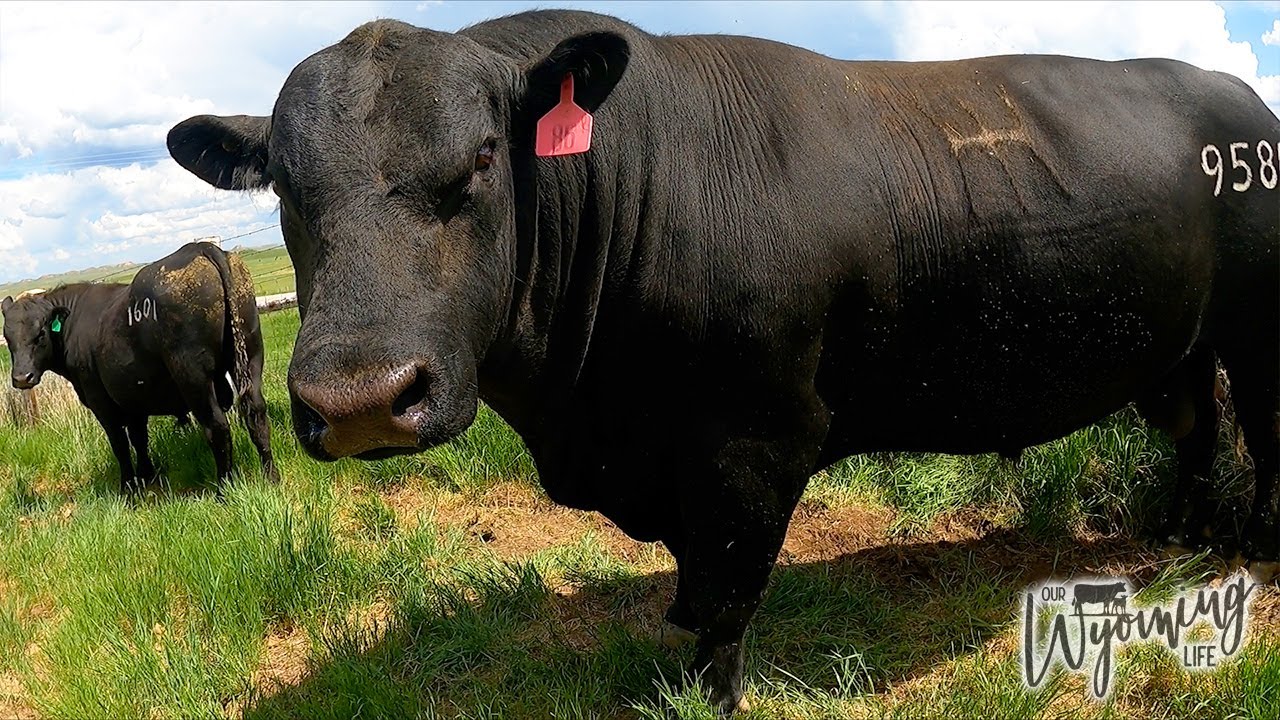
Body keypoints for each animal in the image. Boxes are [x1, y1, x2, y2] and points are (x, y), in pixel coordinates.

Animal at [2, 242, 278, 491]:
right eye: (7, 336)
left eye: (40, 333)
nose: (22, 378)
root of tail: (200, 247)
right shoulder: (133, 397)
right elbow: (139, 439)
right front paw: (147, 475)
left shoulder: (102, 403)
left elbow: (120, 445)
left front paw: (128, 487)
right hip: (250, 355)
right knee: (256, 412)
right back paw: (270, 476)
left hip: (194, 376)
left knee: (217, 427)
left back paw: (224, 488)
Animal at [166, 10, 1279, 714]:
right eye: (284, 187)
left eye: (482, 156)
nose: (360, 400)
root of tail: (1237, 100)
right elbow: (693, 579)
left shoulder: (755, 441)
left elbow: (728, 584)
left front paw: (707, 689)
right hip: (1177, 346)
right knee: (1196, 427)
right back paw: (1175, 537)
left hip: (1259, 330)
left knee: (1258, 434)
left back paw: (1249, 547)